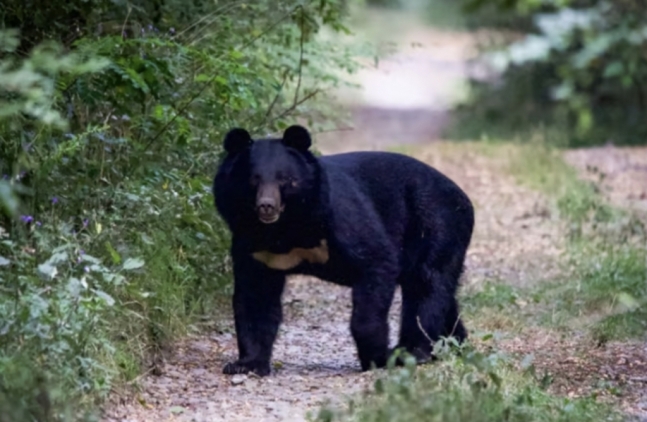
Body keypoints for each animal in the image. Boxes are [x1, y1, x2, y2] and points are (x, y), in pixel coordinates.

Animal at [215, 125, 474, 376]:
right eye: (253, 179)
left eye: (285, 179)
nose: (267, 206)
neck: (285, 229)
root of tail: (462, 196)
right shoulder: (254, 248)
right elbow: (255, 299)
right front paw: (246, 364)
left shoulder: (340, 220)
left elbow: (376, 261)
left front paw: (376, 357)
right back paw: (453, 344)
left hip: (435, 223)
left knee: (426, 286)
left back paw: (414, 351)